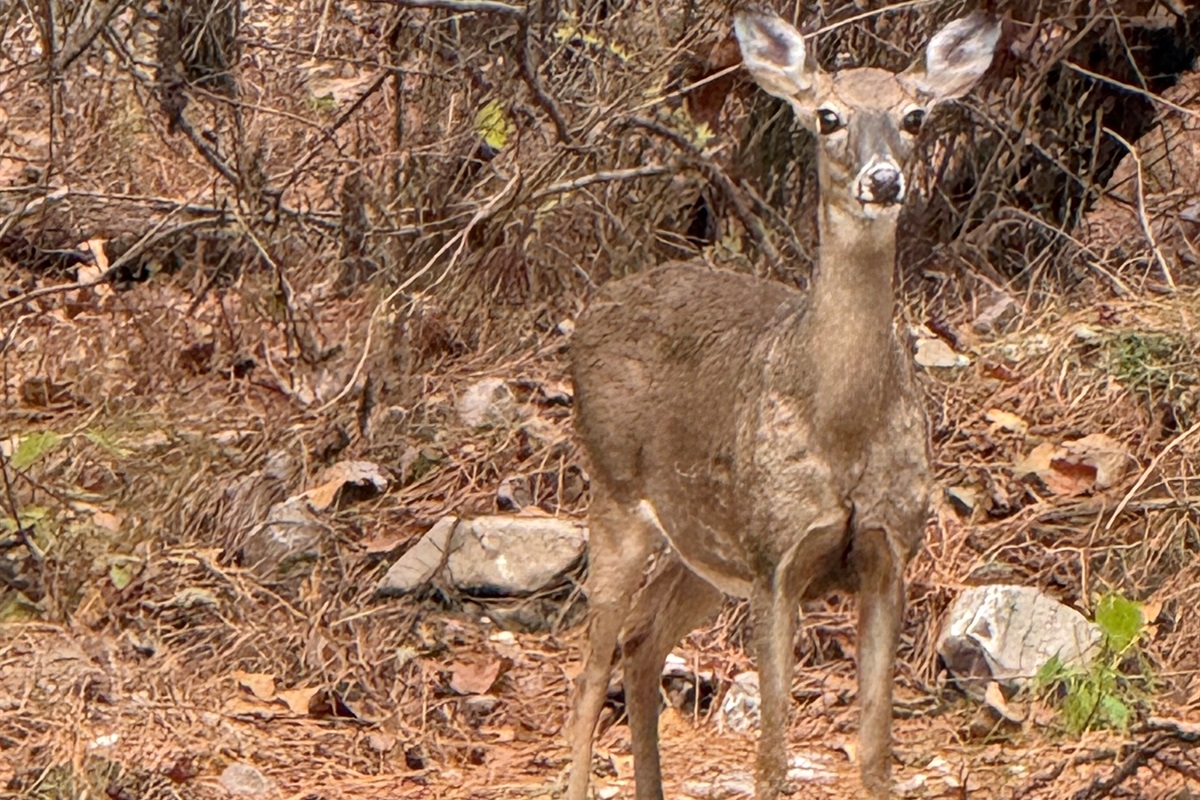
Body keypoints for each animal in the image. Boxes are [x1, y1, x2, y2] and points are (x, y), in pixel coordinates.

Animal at [564, 8, 999, 800]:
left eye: (914, 117)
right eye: (828, 116)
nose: (883, 179)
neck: (843, 426)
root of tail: (591, 309)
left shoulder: (889, 554)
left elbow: (876, 753)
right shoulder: (777, 558)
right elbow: (771, 758)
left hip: (705, 546)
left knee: (641, 643)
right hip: (614, 491)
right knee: (586, 679)